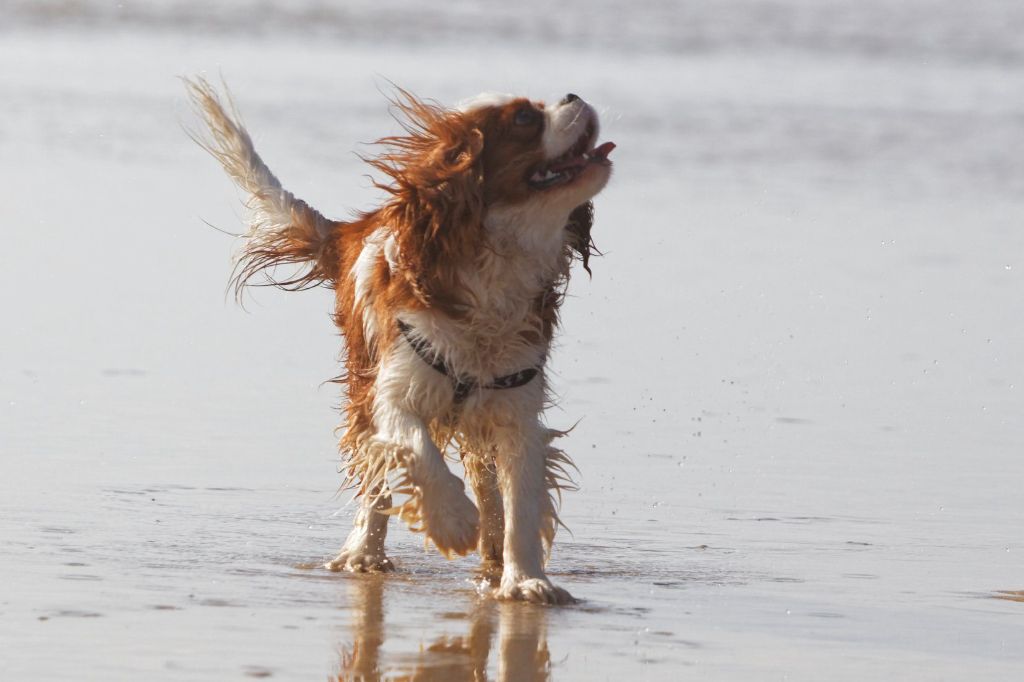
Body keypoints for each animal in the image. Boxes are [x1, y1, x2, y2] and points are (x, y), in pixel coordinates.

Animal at [185, 76, 610, 602]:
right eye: (525, 118)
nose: (574, 95)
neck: (491, 267)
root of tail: (351, 231)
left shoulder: (517, 411)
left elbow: (521, 505)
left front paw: (526, 580)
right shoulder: (392, 391)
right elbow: (418, 450)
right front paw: (454, 523)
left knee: (484, 481)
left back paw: (489, 558)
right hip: (364, 389)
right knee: (376, 481)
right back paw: (364, 554)